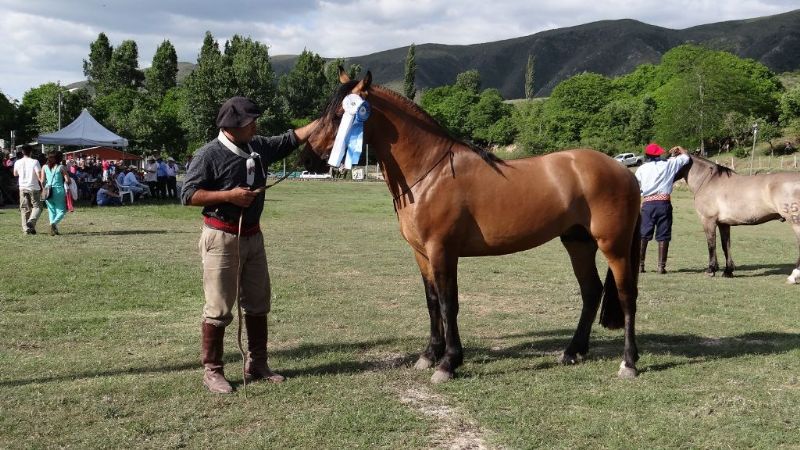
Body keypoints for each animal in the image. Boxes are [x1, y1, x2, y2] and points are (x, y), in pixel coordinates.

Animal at [301, 68, 642, 383]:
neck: (430, 173)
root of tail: (623, 171)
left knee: (626, 294)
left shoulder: (442, 251)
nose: (307, 158)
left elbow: (449, 304)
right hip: (577, 242)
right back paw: (573, 351)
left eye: (339, 115)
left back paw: (628, 362)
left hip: (614, 245)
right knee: (591, 291)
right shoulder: (422, 255)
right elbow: (432, 302)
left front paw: (448, 363)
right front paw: (429, 355)